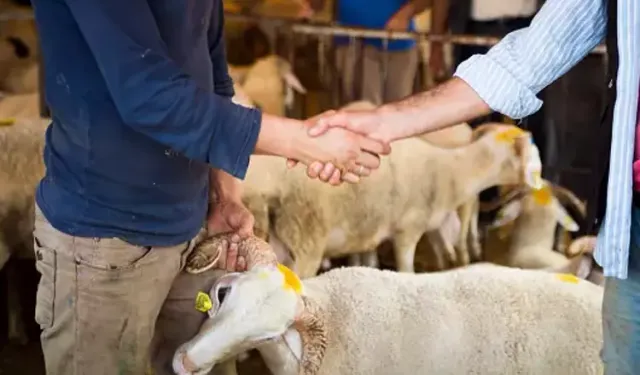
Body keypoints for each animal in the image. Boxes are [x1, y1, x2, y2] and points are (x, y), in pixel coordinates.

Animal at [242, 122, 544, 278]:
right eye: (530, 152)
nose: (542, 183)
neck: (450, 169)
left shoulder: (369, 235)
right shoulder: (407, 231)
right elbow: (407, 272)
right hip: (305, 243)